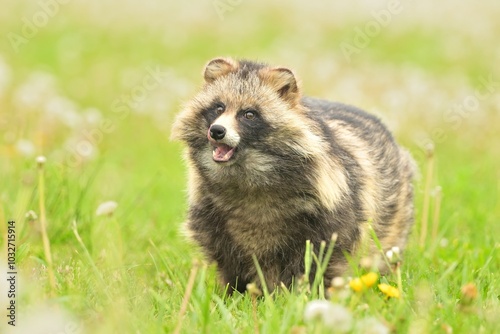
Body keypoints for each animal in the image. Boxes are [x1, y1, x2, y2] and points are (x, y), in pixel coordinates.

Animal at [172, 58, 414, 294]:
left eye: (249, 114)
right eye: (218, 107)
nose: (216, 131)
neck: (248, 176)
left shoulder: (333, 210)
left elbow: (324, 256)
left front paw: (310, 293)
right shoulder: (212, 214)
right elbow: (226, 257)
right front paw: (233, 292)